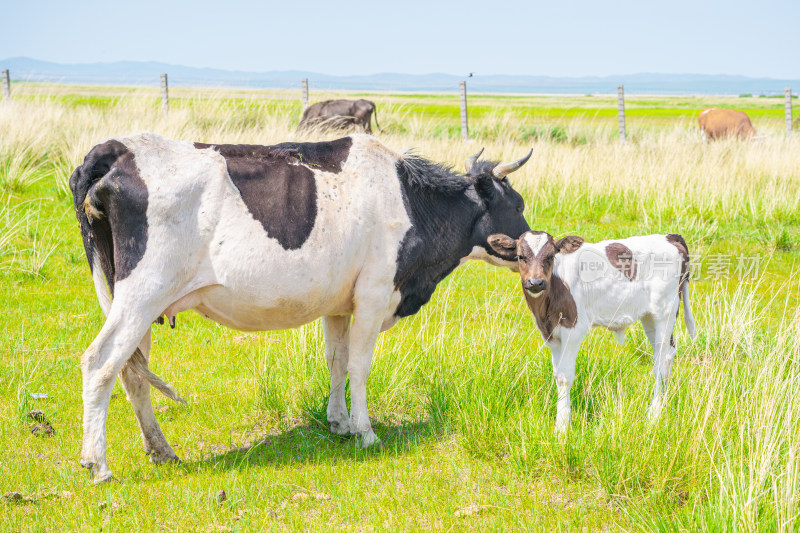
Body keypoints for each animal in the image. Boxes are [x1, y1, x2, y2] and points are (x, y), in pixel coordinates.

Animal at [69, 133, 532, 482]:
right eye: (518, 205)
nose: (534, 250)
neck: (408, 200)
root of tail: (117, 149)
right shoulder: (374, 293)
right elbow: (359, 366)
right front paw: (365, 432)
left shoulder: (339, 303)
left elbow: (336, 361)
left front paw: (338, 422)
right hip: (143, 291)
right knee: (100, 361)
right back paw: (98, 465)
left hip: (138, 299)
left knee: (132, 371)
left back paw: (160, 449)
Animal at [488, 231, 692, 430]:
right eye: (520, 257)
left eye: (551, 256)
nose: (536, 282)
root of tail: (670, 236)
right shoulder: (551, 334)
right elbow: (557, 373)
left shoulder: (573, 329)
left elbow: (565, 376)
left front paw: (562, 427)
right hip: (649, 317)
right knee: (666, 353)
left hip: (665, 311)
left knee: (661, 362)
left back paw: (653, 415)